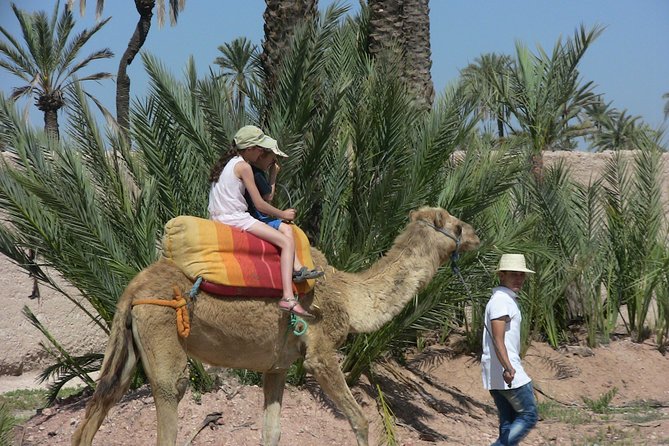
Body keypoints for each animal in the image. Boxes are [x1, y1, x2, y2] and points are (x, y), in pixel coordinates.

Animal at [71, 206, 480, 446]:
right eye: (458, 225)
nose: (478, 235)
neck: (349, 294)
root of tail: (132, 290)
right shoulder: (319, 352)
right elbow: (361, 420)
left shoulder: (277, 365)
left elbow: (271, 431)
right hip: (160, 326)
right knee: (171, 392)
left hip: (128, 343)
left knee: (98, 405)